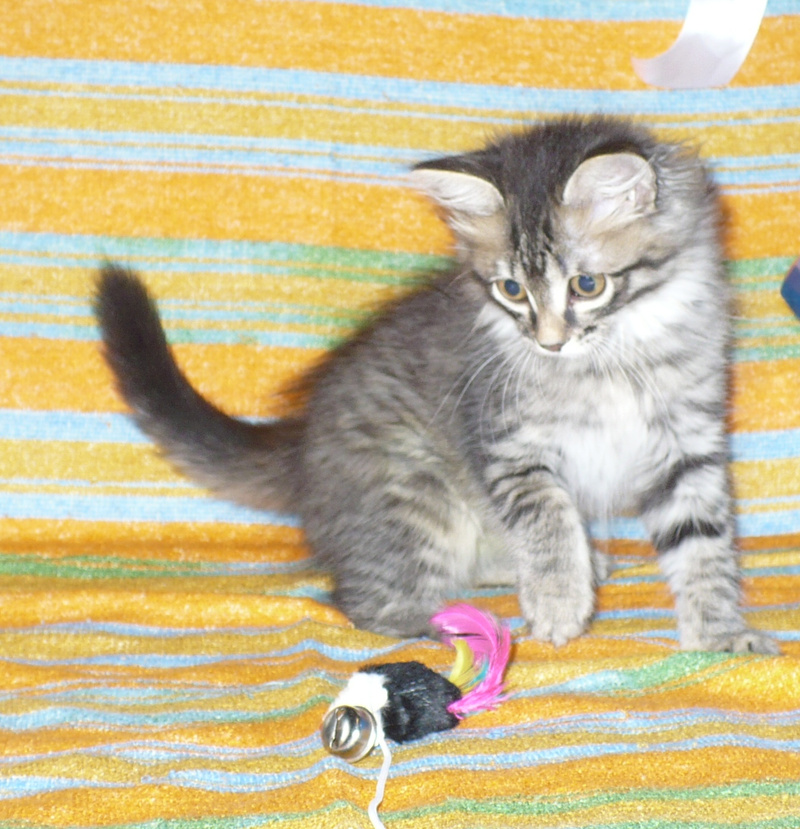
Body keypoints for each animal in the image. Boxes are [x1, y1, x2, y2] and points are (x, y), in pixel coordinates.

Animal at [94, 115, 777, 653]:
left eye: (587, 285)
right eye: (511, 290)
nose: (548, 341)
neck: (609, 361)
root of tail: (301, 449)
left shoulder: (687, 442)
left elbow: (703, 542)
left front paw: (719, 634)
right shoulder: (506, 443)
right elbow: (547, 518)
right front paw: (559, 602)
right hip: (411, 490)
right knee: (363, 603)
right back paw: (444, 626)